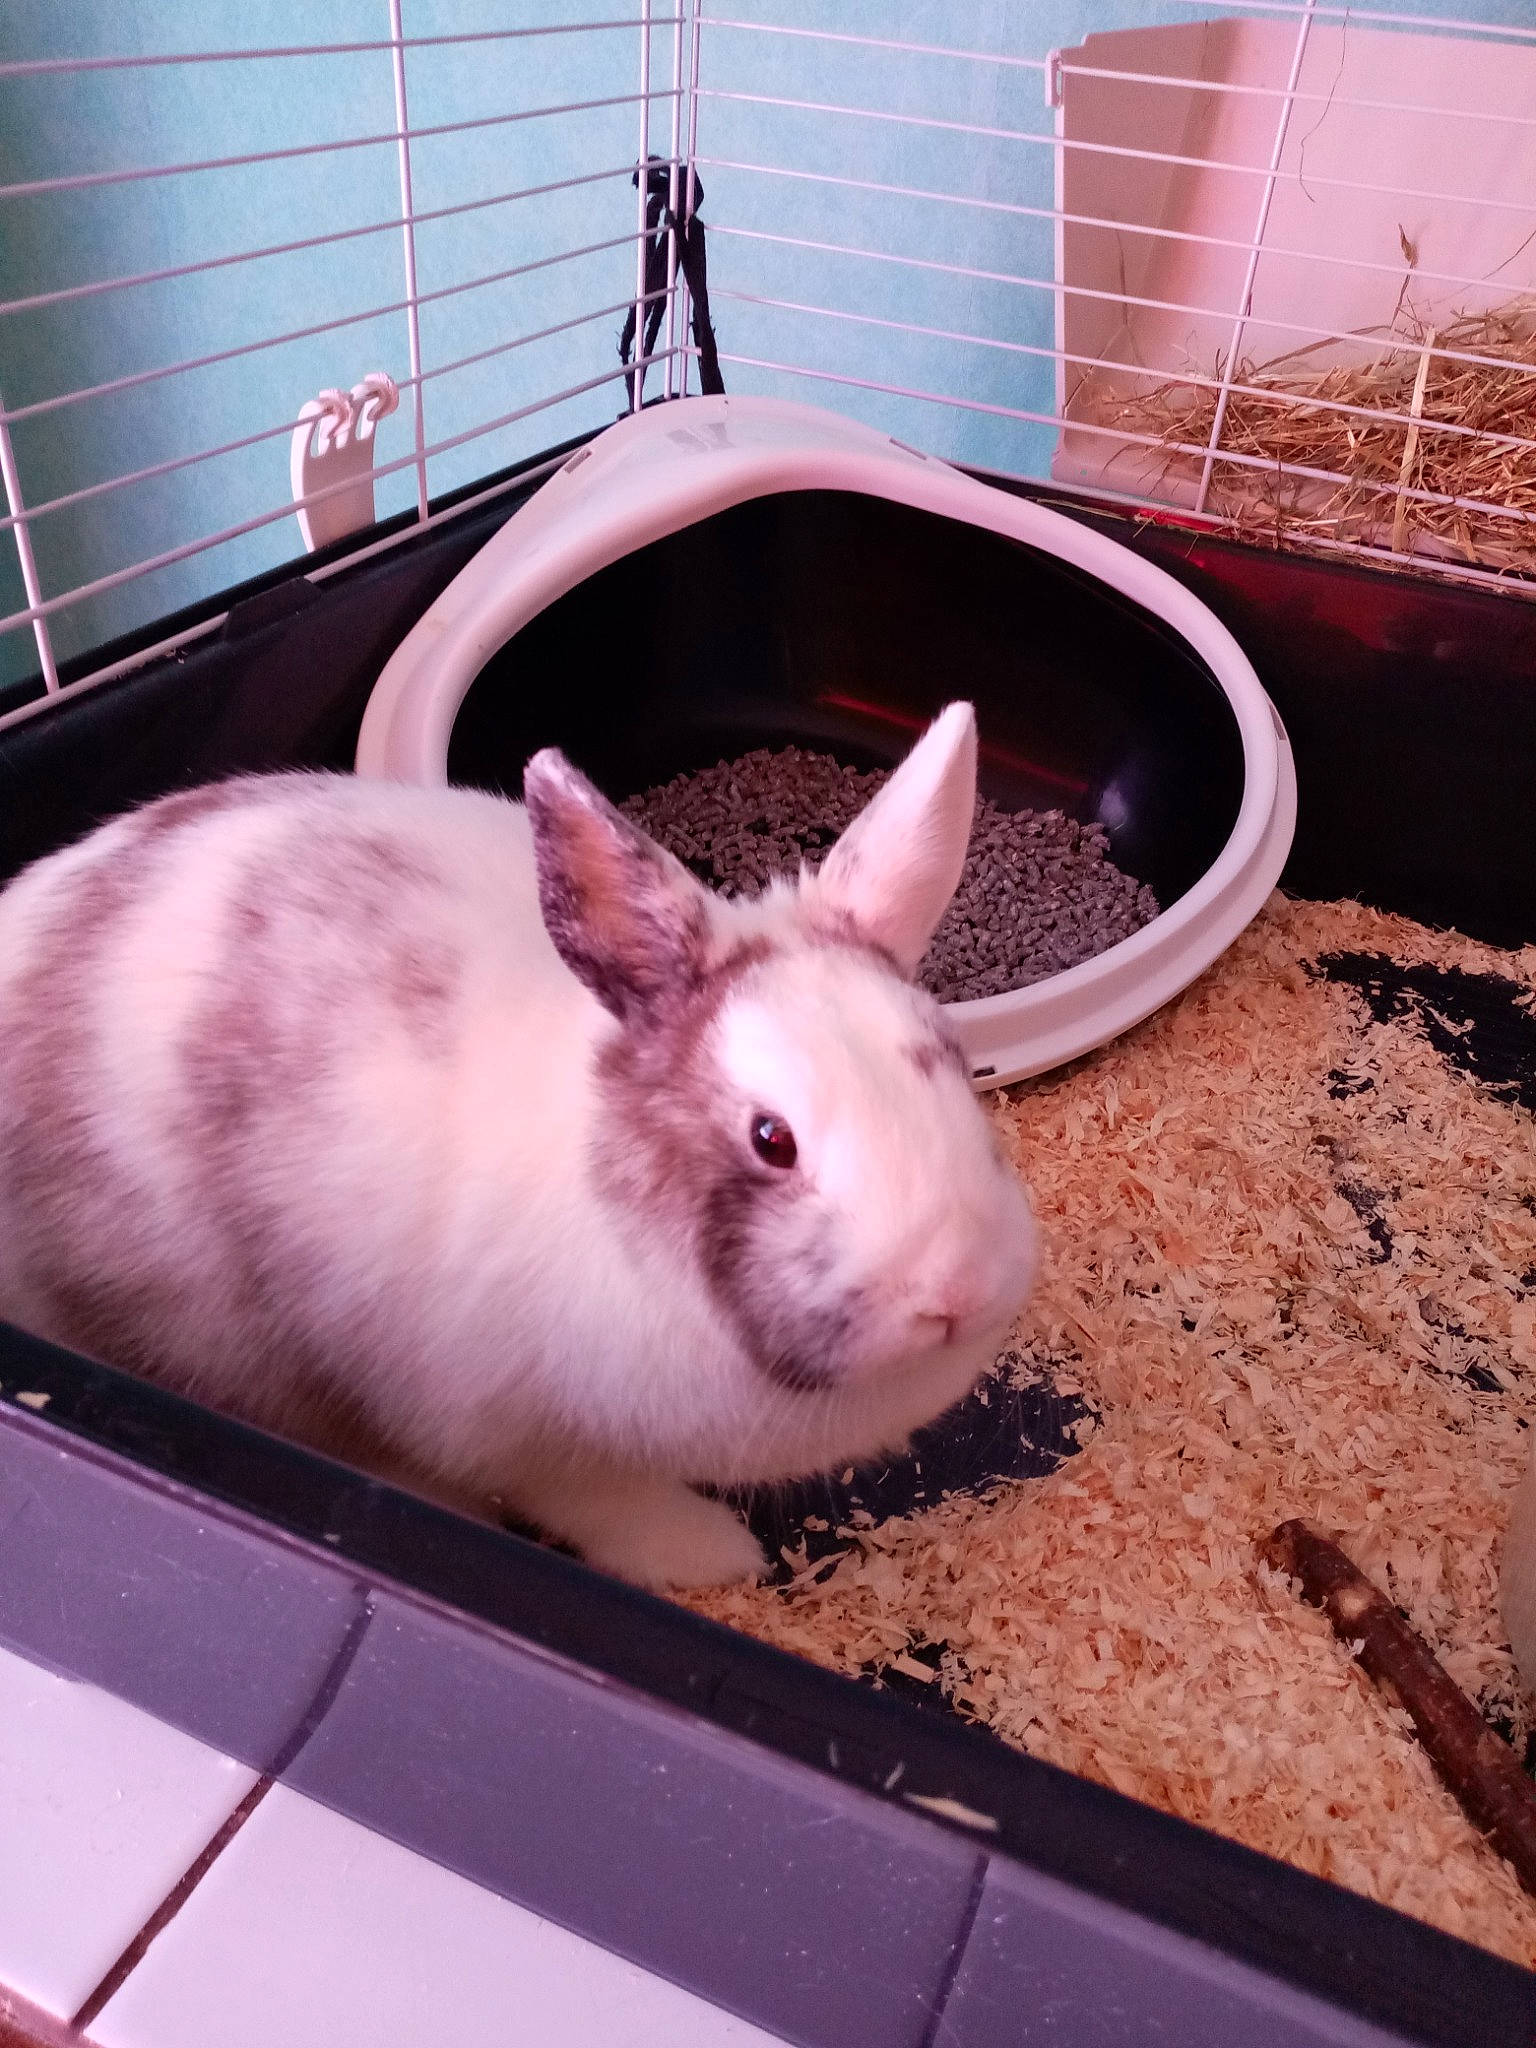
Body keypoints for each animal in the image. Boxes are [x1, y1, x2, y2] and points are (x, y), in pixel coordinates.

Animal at [0, 700, 1038, 1589]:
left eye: (954, 1063)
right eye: (771, 1138)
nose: (953, 1288)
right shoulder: (518, 1438)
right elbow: (601, 1502)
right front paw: (713, 1557)